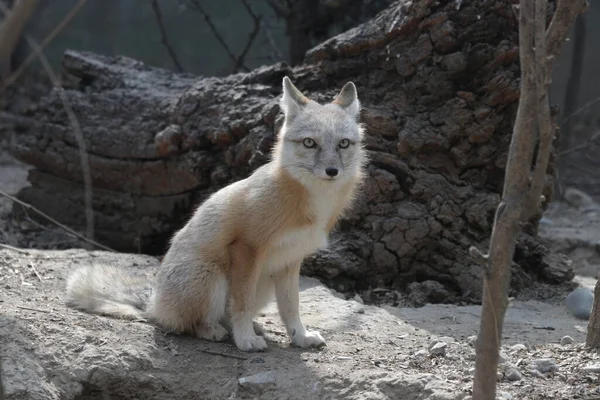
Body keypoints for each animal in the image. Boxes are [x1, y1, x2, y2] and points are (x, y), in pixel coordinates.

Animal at [65, 76, 366, 352]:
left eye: (343, 144)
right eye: (309, 143)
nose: (332, 171)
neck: (311, 202)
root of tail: (153, 300)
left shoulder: (290, 260)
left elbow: (291, 307)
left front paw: (300, 337)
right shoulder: (247, 248)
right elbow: (242, 303)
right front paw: (245, 341)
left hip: (264, 282)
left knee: (223, 315)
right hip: (213, 276)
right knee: (190, 324)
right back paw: (216, 331)